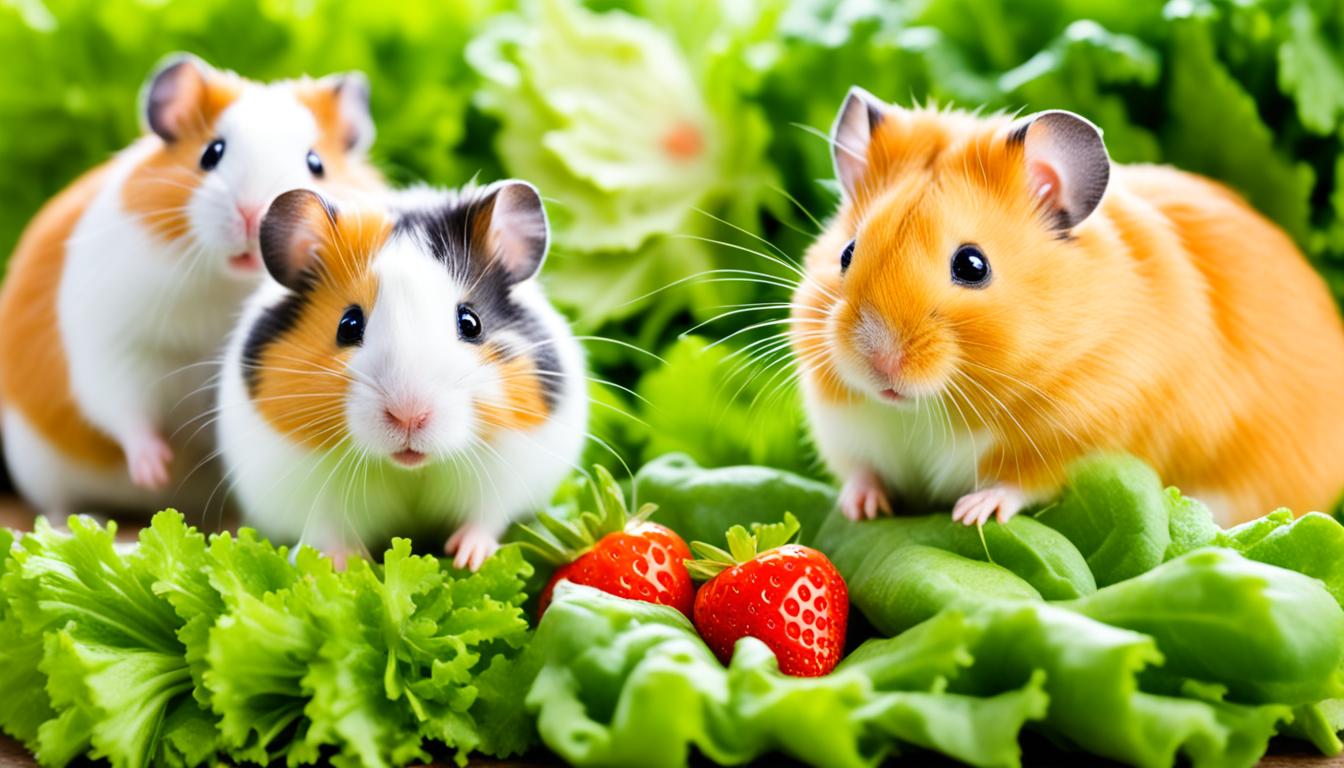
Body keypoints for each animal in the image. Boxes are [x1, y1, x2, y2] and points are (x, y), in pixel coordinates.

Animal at [0, 54, 382, 518]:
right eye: (211, 153)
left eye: (316, 163)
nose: (255, 214)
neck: (230, 284)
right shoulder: (115, 345)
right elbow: (126, 411)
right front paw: (154, 471)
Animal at [216, 182, 587, 569]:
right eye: (348, 325)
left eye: (471, 322)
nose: (409, 416)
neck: (410, 468)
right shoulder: (304, 489)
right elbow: (328, 530)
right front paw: (344, 565)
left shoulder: (509, 471)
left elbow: (485, 518)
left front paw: (467, 560)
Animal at [792, 86, 1344, 527]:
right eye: (846, 253)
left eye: (972, 265)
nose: (880, 362)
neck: (932, 407)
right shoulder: (846, 432)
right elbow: (861, 471)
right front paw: (861, 509)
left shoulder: (1084, 433)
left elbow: (1020, 483)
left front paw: (971, 514)